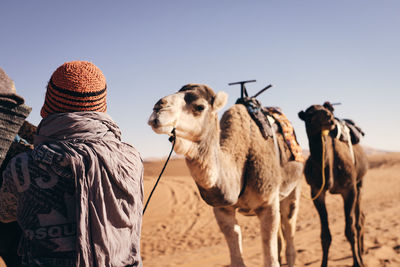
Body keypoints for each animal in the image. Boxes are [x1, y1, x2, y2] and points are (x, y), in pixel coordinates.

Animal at [148, 84, 304, 267]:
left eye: (199, 107)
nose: (158, 108)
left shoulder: (268, 203)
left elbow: (271, 261)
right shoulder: (222, 210)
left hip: (294, 186)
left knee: (289, 223)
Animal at [296, 101, 368, 266]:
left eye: (327, 109)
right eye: (310, 114)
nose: (329, 118)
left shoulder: (349, 189)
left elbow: (349, 230)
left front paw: (357, 262)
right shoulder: (316, 190)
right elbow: (325, 235)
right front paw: (323, 263)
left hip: (359, 183)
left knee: (359, 220)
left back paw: (361, 254)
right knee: (360, 217)